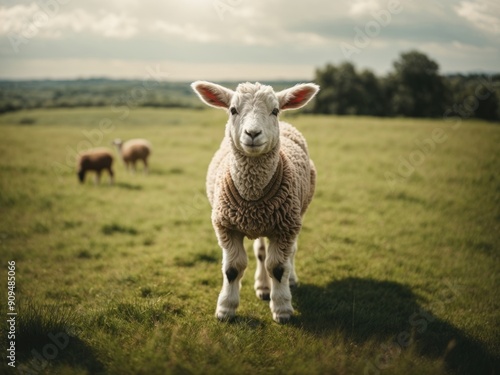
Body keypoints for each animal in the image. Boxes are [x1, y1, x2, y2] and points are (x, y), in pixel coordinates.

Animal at [191, 80, 320, 324]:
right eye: (233, 110)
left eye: (275, 110)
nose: (252, 133)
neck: (252, 195)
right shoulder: (226, 226)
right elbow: (233, 268)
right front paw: (226, 309)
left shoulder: (285, 227)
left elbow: (278, 267)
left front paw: (282, 309)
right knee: (261, 252)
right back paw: (263, 286)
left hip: (296, 213)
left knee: (290, 253)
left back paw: (289, 280)